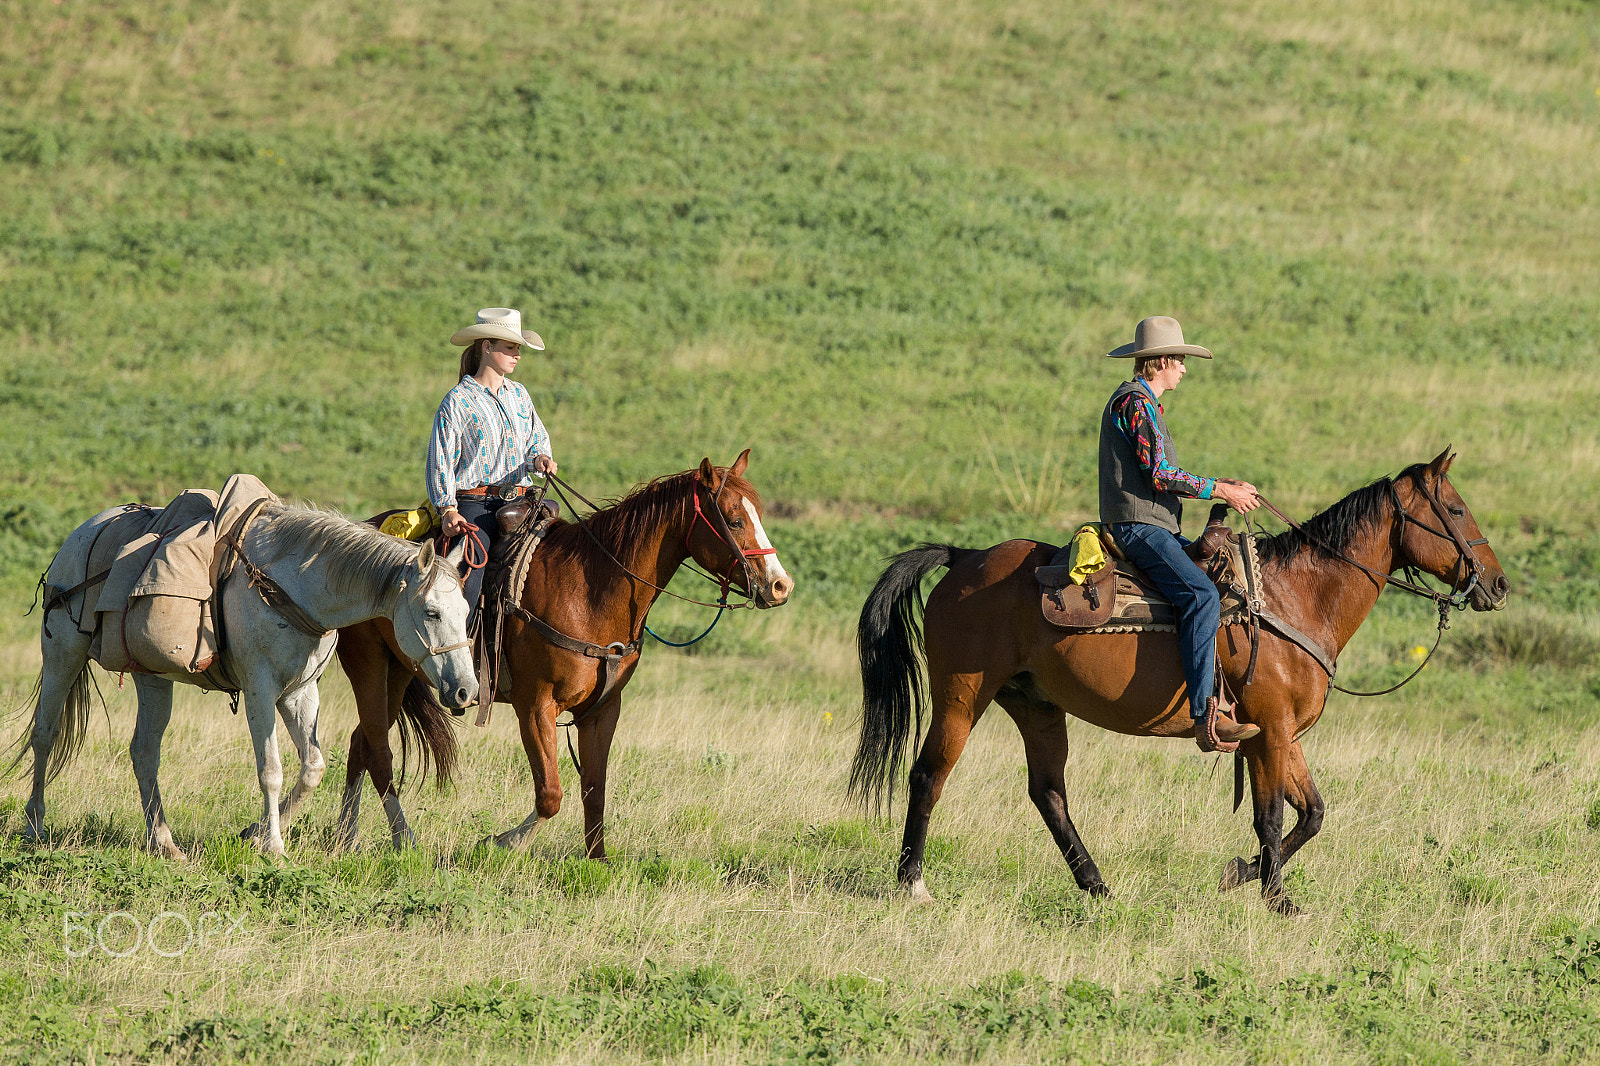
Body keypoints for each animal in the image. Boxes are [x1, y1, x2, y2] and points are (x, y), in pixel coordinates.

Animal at [12, 499, 473, 857]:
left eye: (468, 612)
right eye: (431, 612)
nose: (465, 691)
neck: (291, 586)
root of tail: (83, 531)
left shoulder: (300, 694)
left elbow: (312, 768)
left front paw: (256, 834)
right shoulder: (260, 689)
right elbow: (271, 769)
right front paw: (274, 846)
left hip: (153, 678)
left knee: (143, 752)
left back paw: (163, 842)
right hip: (62, 655)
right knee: (45, 735)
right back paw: (35, 826)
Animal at [331, 451, 793, 851]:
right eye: (734, 520)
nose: (779, 586)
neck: (591, 588)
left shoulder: (603, 709)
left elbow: (595, 790)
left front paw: (596, 861)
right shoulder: (536, 706)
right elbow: (550, 795)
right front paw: (500, 843)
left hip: (399, 672)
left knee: (361, 743)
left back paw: (344, 839)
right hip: (369, 666)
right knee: (377, 751)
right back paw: (393, 839)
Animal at [857, 448, 1504, 915]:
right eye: (1457, 510)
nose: (1497, 584)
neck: (1292, 597)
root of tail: (963, 557)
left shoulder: (1280, 732)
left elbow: (1312, 814)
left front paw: (1242, 873)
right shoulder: (1269, 729)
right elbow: (1271, 816)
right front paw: (1277, 899)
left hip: (1035, 705)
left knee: (1049, 793)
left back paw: (1098, 887)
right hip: (963, 696)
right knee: (928, 776)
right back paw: (912, 884)